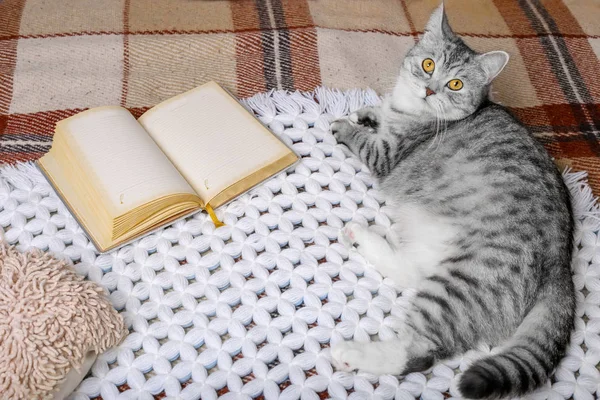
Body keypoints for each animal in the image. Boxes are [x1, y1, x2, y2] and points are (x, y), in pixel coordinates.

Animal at [328, 3, 576, 400]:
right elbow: (378, 112)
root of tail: (561, 262)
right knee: (412, 270)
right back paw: (361, 236)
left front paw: (347, 125)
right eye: (428, 65)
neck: (412, 112)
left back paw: (355, 352)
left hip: (463, 282)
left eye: (456, 84)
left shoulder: (385, 154)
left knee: (420, 351)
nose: (430, 90)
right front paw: (368, 112)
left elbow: (364, 140)